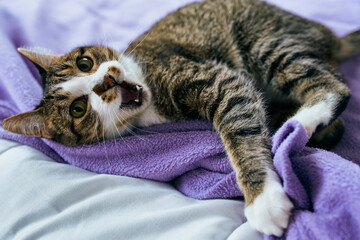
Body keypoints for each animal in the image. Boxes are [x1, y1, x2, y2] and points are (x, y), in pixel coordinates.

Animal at [1, 0, 358, 236]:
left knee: (334, 87)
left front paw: (263, 200)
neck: (148, 99)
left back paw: (301, 122)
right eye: (78, 109)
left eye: (85, 63)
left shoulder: (219, 80)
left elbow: (239, 134)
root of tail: (329, 37)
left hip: (265, 41)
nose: (106, 81)